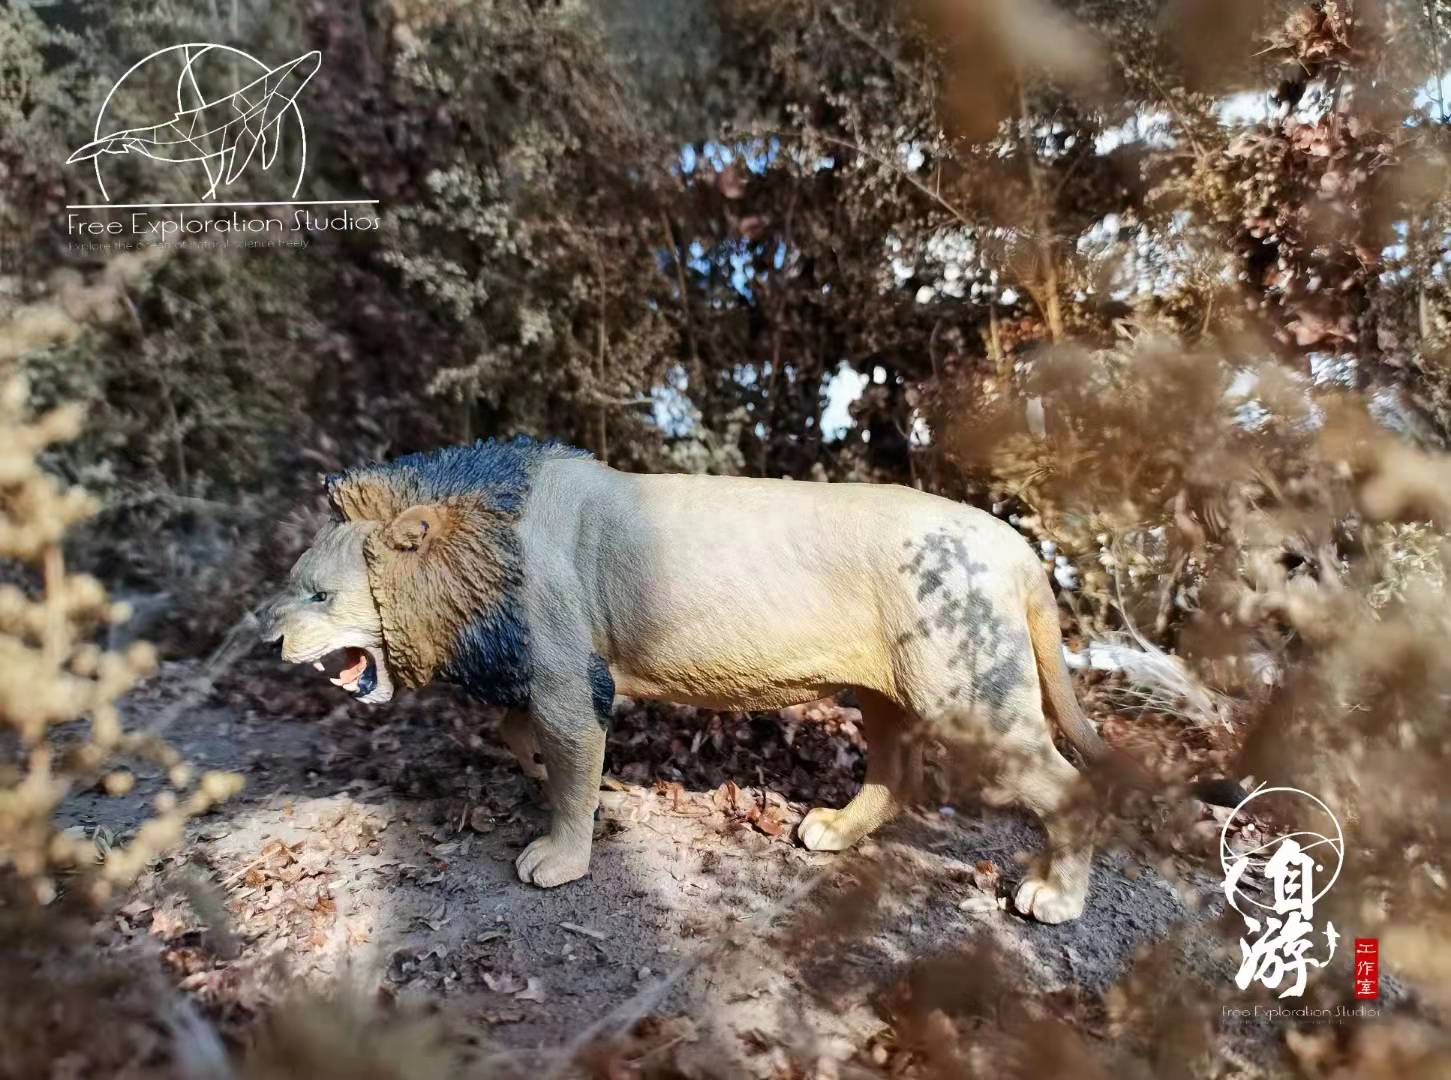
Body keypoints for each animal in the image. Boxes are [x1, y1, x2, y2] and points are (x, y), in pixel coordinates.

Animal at [261, 437, 1236, 924]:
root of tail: (1016, 545)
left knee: (1064, 788)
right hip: (884, 696)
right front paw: (563, 781)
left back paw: (1053, 898)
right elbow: (520, 738)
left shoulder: (566, 677)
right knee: (895, 773)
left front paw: (559, 857)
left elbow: (567, 772)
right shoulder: (545, 675)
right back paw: (835, 832)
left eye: (317, 593)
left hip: (972, 700)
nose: (267, 632)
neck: (472, 553)